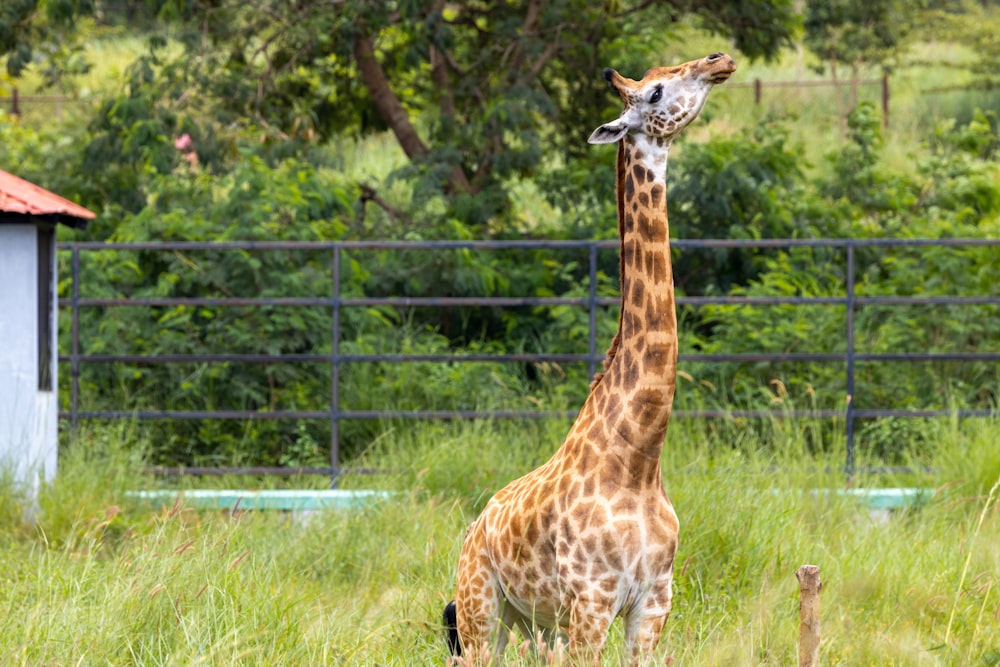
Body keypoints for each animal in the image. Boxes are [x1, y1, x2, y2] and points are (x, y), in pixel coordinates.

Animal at [446, 53, 736, 667]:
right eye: (655, 91)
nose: (718, 61)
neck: (640, 460)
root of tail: (475, 526)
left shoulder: (654, 603)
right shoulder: (592, 600)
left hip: (529, 622)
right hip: (480, 609)